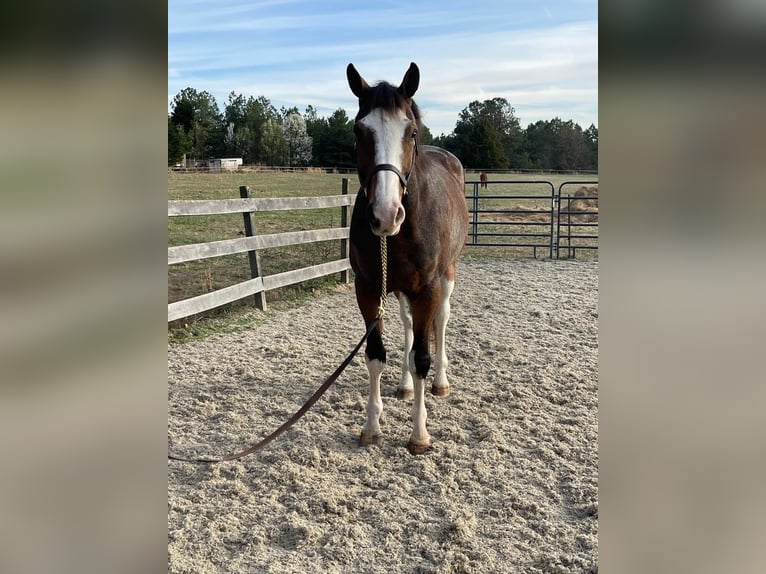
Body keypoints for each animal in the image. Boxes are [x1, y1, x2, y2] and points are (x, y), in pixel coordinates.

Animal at [346, 63, 468, 456]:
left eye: (410, 131)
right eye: (359, 130)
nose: (385, 215)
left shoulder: (427, 290)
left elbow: (422, 359)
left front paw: (419, 434)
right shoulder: (369, 290)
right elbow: (375, 354)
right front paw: (371, 427)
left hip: (447, 276)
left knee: (440, 322)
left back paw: (440, 382)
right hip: (399, 292)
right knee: (409, 327)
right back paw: (403, 385)